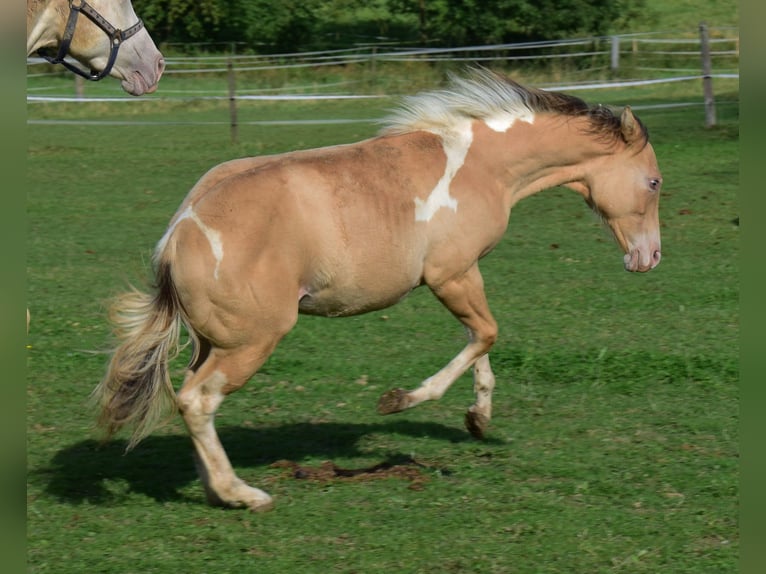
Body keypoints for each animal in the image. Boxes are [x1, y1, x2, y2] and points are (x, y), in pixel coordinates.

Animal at [93, 68, 664, 512]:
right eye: (655, 182)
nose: (650, 258)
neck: (479, 165)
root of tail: (179, 233)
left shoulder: (466, 274)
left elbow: (481, 339)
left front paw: (477, 419)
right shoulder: (451, 274)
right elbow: (485, 335)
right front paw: (401, 401)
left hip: (214, 341)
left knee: (186, 397)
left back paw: (216, 489)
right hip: (253, 341)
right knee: (197, 401)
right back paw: (243, 494)